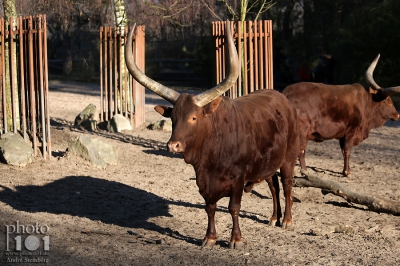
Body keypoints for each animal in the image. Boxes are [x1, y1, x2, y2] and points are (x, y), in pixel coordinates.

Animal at [125, 22, 300, 249]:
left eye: (193, 118)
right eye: (173, 118)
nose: (173, 146)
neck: (213, 153)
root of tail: (283, 99)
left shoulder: (238, 177)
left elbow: (234, 207)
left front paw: (236, 239)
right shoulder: (204, 181)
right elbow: (210, 208)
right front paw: (209, 238)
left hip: (289, 157)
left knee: (287, 185)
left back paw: (286, 220)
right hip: (268, 162)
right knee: (274, 185)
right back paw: (273, 218)